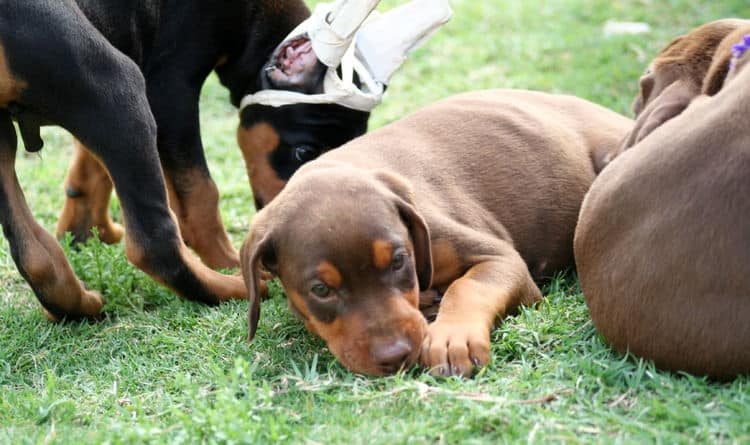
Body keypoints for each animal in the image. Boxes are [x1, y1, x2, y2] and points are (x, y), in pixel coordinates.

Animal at [242, 89, 636, 374]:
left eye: (398, 261)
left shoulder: (498, 257)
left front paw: (452, 337)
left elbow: (468, 287)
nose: (396, 355)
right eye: (320, 290)